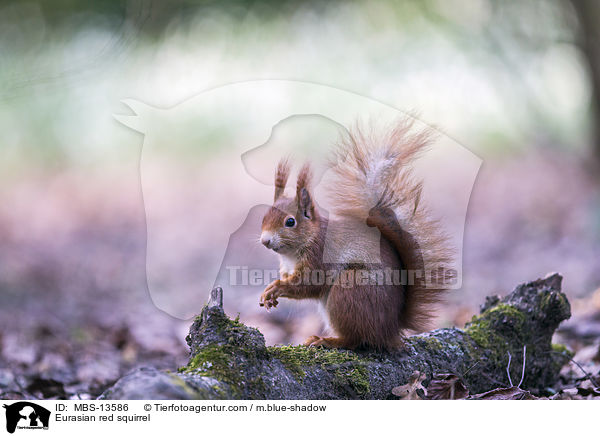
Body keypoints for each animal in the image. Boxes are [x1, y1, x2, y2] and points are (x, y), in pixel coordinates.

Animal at [258, 120, 454, 350]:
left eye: (290, 222)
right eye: (263, 217)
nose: (265, 240)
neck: (294, 251)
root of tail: (391, 329)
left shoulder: (320, 256)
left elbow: (310, 283)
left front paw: (277, 288)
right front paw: (269, 293)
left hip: (350, 289)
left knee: (356, 339)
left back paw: (326, 340)